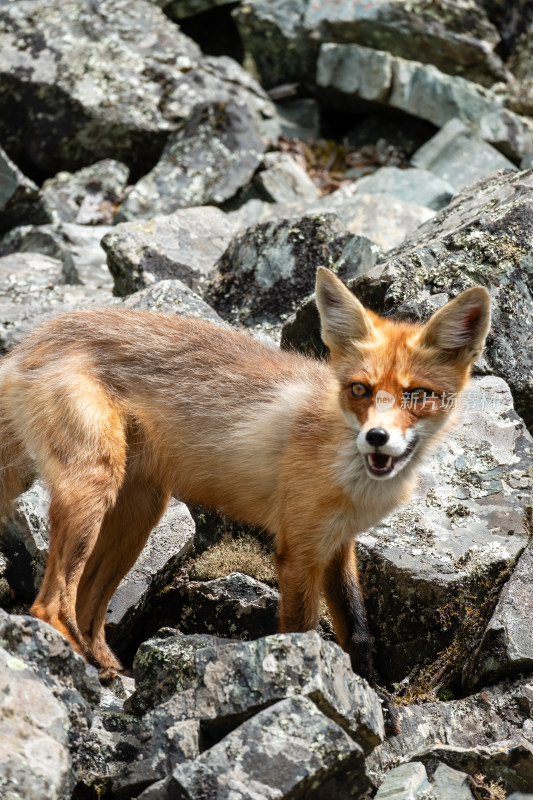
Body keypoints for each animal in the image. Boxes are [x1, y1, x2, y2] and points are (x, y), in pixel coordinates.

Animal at [0, 268, 486, 708]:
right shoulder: (297, 551)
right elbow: (304, 632)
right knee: (49, 606)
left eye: (416, 395)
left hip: (139, 511)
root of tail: (33, 340)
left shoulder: (337, 542)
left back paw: (108, 668)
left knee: (86, 608)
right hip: (95, 485)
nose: (377, 438)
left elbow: (359, 630)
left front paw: (374, 695)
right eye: (360, 389)